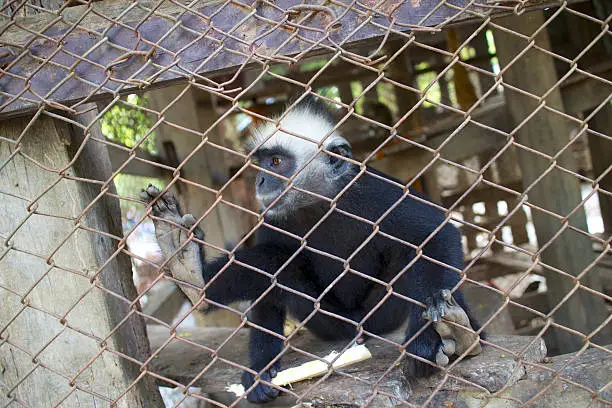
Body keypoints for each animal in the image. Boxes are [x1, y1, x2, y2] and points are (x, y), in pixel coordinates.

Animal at [142, 97, 482, 404]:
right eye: (262, 164)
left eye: (276, 163)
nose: (260, 180)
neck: (319, 204)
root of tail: (355, 326)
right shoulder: (272, 217)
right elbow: (269, 277)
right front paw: (261, 372)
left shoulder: (375, 190)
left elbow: (436, 235)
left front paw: (427, 337)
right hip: (326, 321)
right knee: (274, 263)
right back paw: (191, 276)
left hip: (380, 315)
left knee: (409, 256)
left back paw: (462, 334)